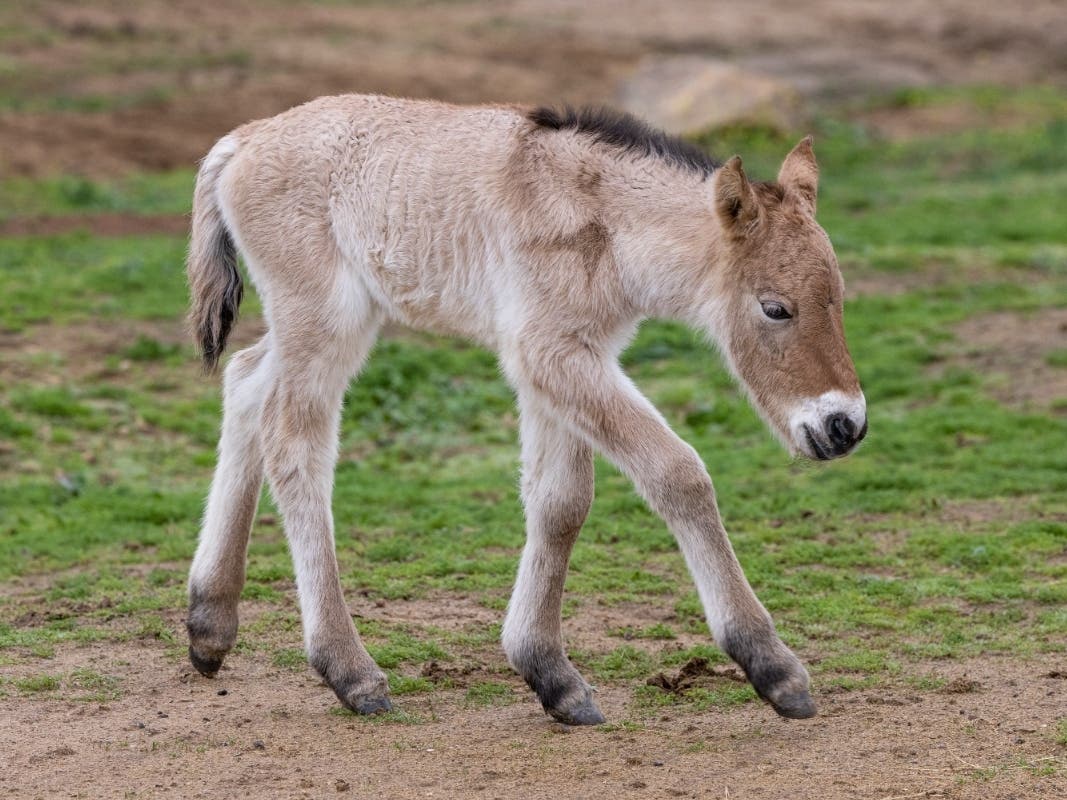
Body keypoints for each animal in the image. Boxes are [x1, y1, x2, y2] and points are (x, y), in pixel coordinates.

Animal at [185, 95, 866, 725]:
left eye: (838, 295)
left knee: (244, 381)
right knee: (293, 446)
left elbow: (560, 501)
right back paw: (350, 671)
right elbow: (677, 473)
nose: (845, 427)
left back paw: (209, 624)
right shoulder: (548, 352)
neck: (603, 222)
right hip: (324, 319)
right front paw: (772, 666)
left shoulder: (570, 359)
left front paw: (550, 674)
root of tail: (244, 139)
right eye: (775, 308)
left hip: (321, 323)